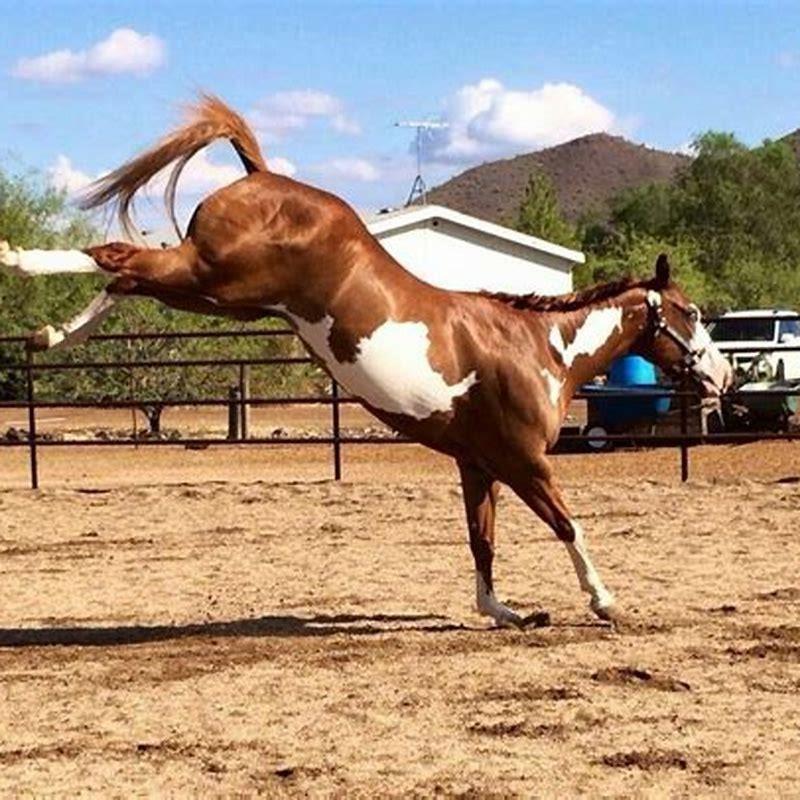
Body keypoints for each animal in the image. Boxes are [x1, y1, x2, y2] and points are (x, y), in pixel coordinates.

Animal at [0, 95, 732, 627]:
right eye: (692, 312)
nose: (724, 375)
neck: (536, 349)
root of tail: (261, 174)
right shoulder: (525, 462)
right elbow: (568, 524)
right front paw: (604, 602)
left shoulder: (479, 464)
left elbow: (482, 540)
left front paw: (505, 611)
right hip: (218, 276)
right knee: (117, 258)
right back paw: (20, 264)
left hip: (223, 296)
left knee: (124, 276)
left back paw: (49, 334)